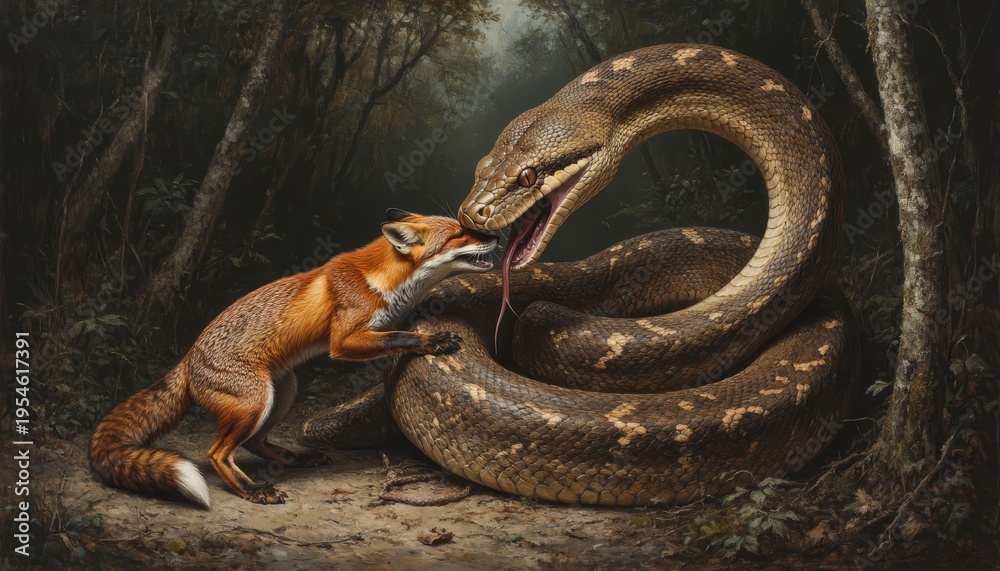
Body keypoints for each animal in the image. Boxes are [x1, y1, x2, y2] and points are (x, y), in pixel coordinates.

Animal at [90, 209, 498, 508]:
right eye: (459, 234)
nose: (495, 236)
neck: (384, 281)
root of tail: (187, 358)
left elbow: (395, 334)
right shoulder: (343, 341)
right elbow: (398, 337)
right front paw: (432, 340)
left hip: (283, 390)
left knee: (254, 443)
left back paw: (294, 459)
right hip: (255, 400)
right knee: (217, 453)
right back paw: (252, 490)